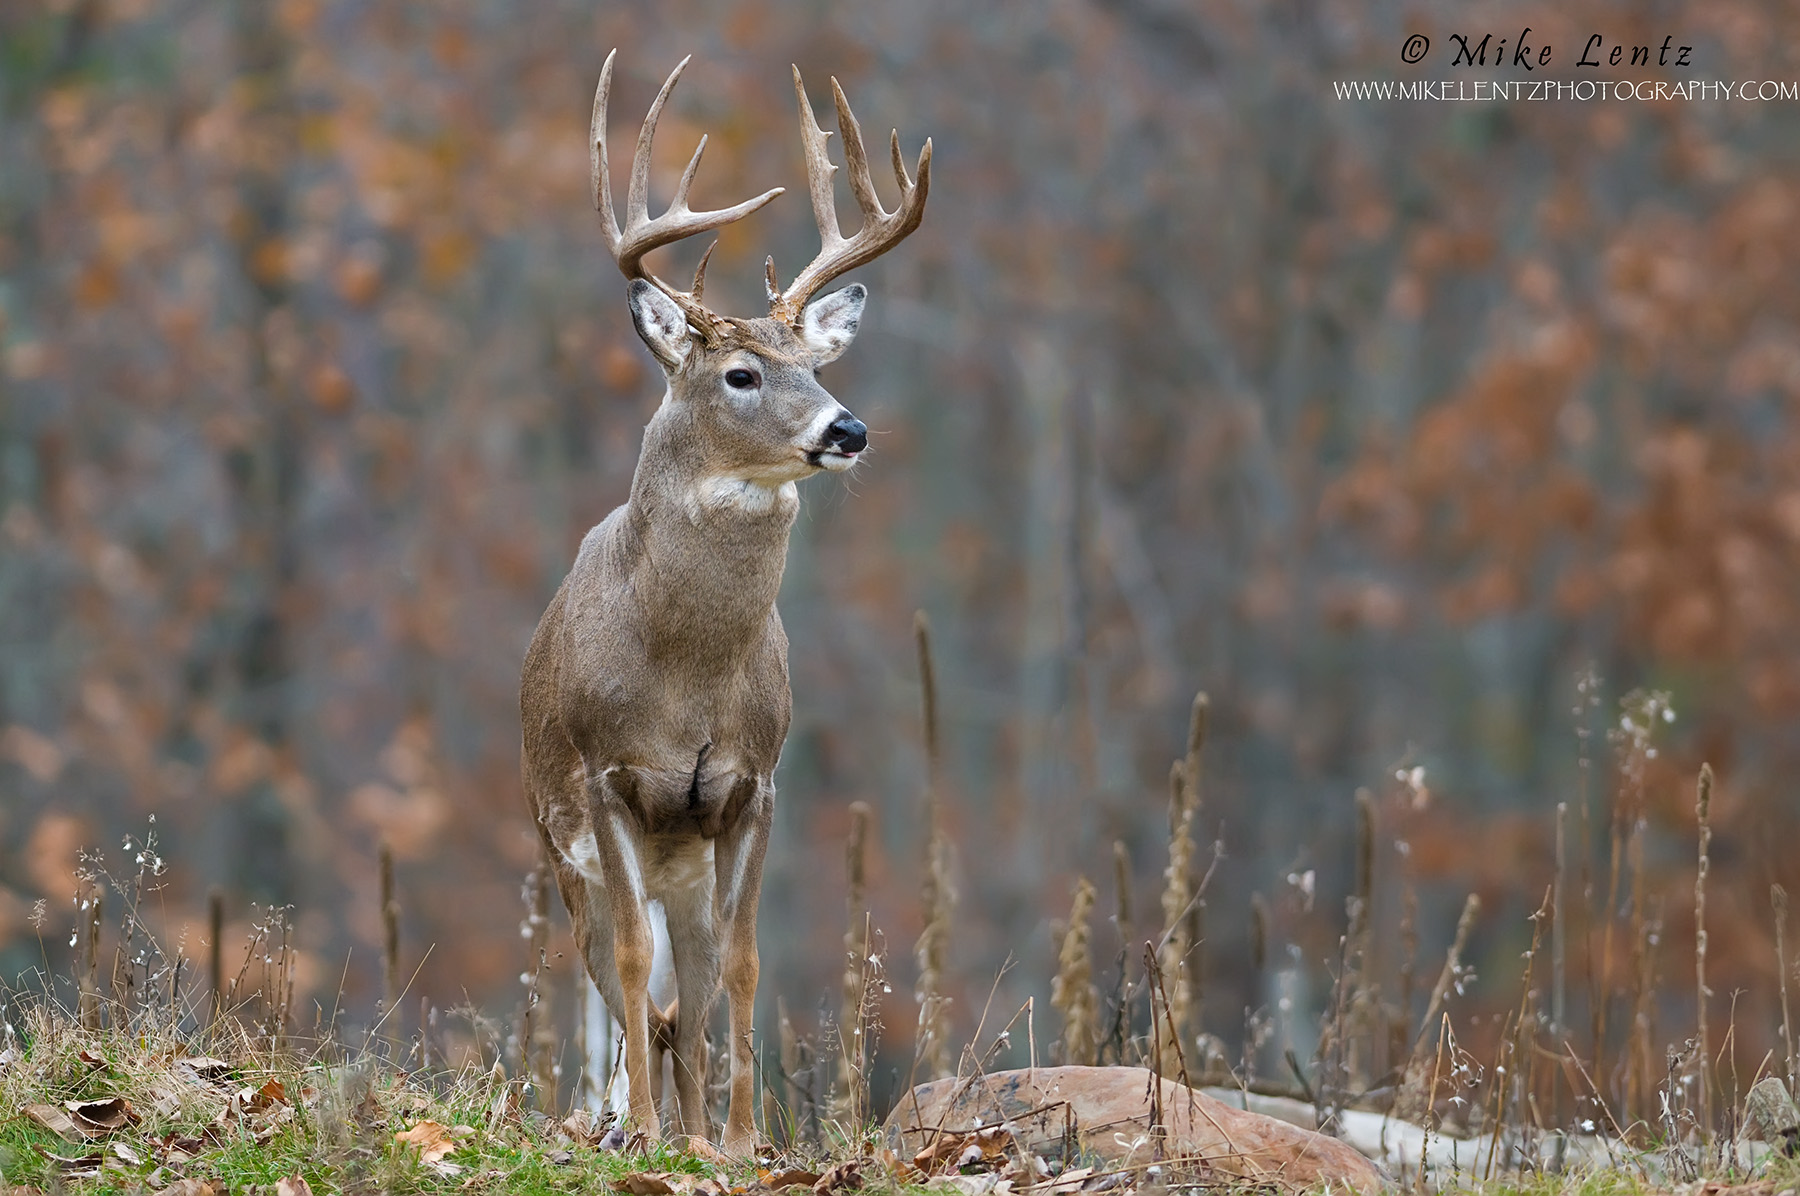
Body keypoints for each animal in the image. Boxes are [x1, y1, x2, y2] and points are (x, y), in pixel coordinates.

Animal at [519, 50, 930, 1151]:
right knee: (619, 984)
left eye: (817, 364)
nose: (848, 429)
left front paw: (740, 1139)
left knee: (686, 994)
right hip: (559, 844)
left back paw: (694, 1122)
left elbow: (739, 968)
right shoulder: (608, 778)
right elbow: (627, 964)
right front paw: (649, 1134)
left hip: (688, 861)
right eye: (742, 372)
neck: (685, 674)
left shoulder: (754, 784)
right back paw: (626, 1119)